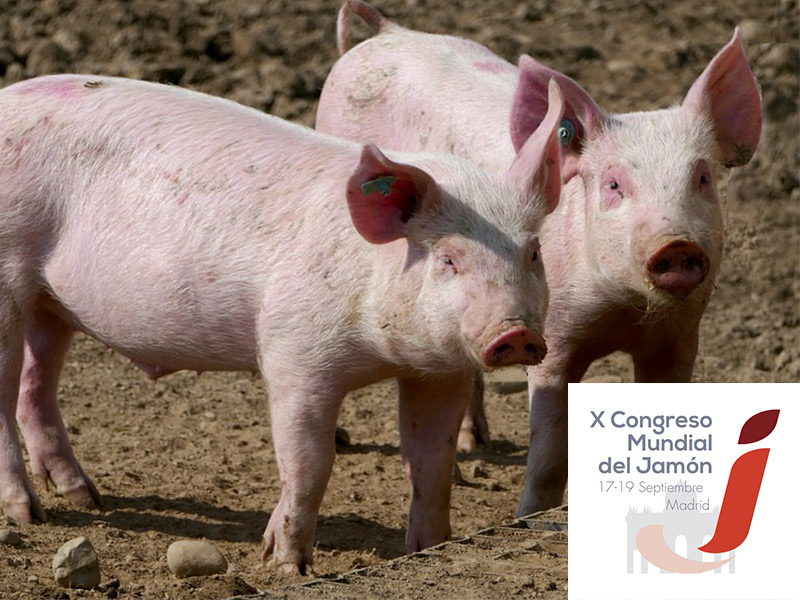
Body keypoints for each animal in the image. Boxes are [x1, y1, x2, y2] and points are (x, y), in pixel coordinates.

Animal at [0, 73, 565, 573]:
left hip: (52, 303)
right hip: (8, 273)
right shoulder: (293, 353)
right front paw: (286, 563)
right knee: (7, 395)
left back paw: (84, 496)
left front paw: (428, 548)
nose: (516, 333)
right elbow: (309, 461)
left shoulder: (439, 372)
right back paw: (32, 514)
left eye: (534, 253)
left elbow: (432, 461)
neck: (382, 353)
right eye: (449, 259)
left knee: (35, 383)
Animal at [316, 1, 762, 516]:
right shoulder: (555, 337)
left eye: (703, 178)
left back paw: (475, 443)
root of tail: (387, 32)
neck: (625, 311)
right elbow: (549, 451)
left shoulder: (680, 338)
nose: (676, 244)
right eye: (613, 184)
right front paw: (528, 516)